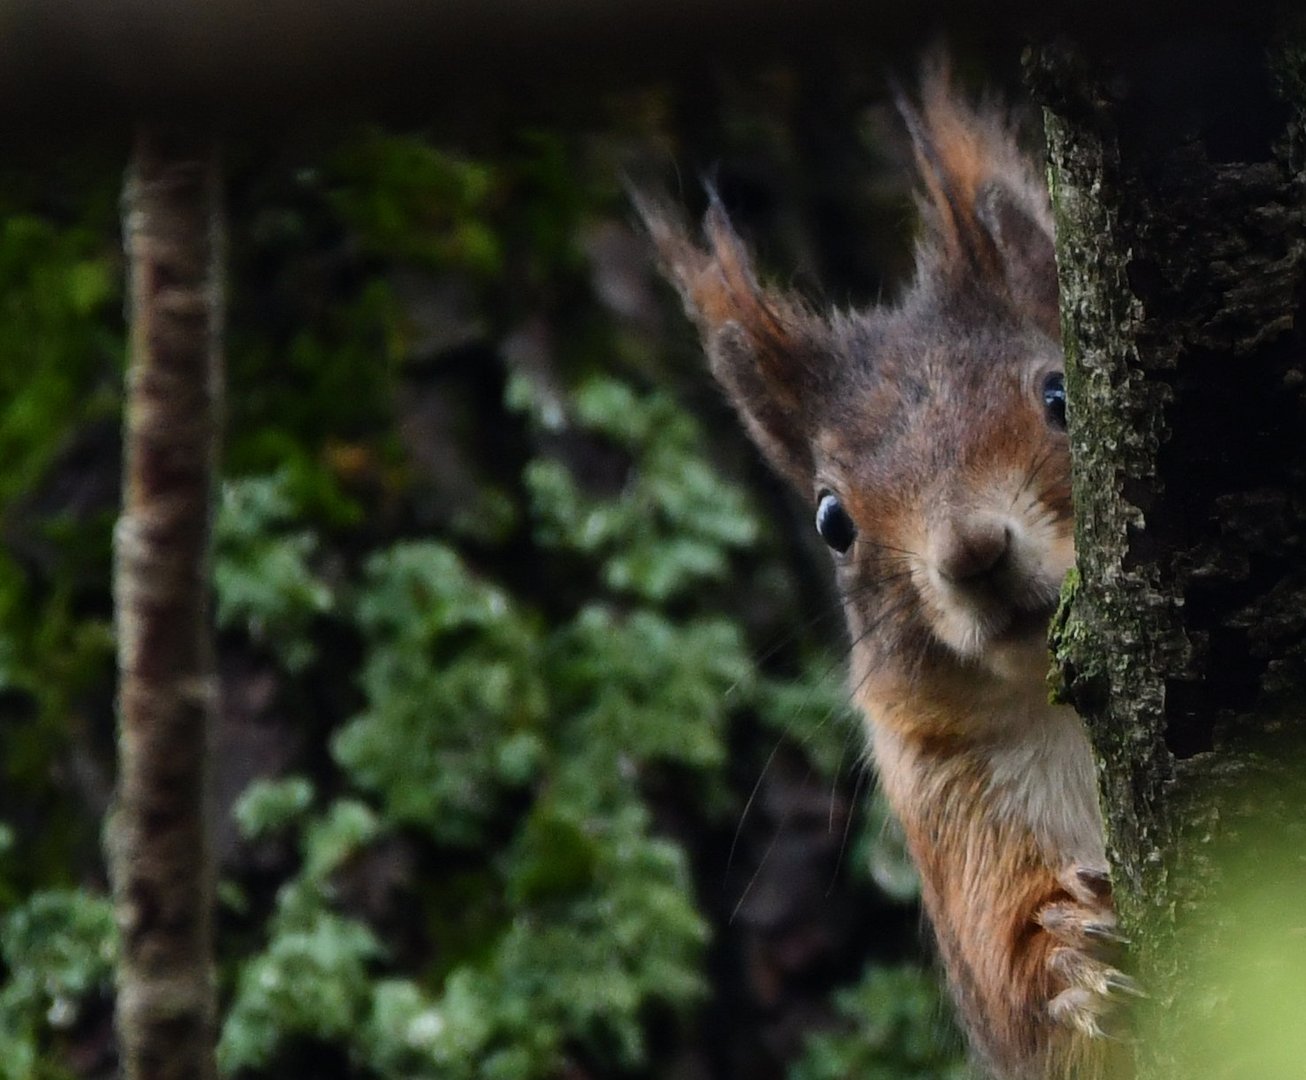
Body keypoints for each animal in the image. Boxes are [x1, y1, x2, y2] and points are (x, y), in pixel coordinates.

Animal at [637, 69, 1138, 1080]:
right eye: (832, 521)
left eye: (1061, 394)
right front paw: (1078, 964)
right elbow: (1013, 982)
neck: (1054, 704)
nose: (974, 553)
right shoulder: (948, 814)